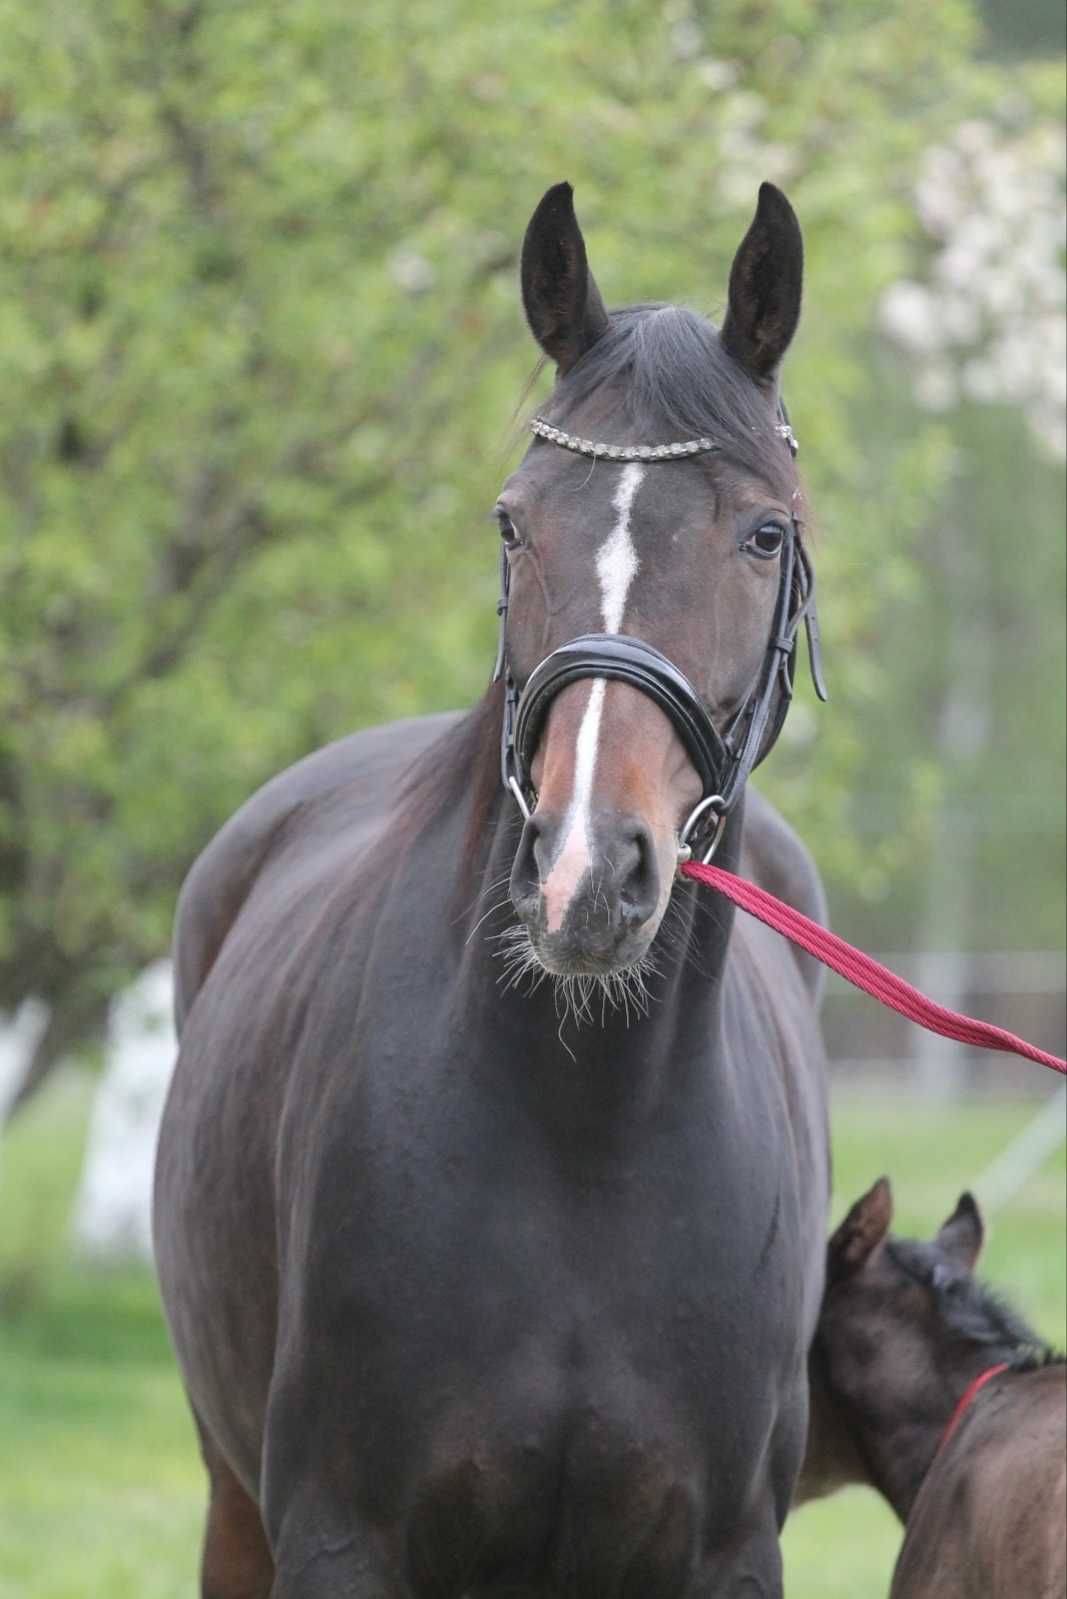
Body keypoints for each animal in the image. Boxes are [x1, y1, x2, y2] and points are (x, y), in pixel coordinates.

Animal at [154, 181, 831, 1592]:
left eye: (763, 533)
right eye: (514, 519)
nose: (582, 872)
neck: (585, 1134)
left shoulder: (723, 1555)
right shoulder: (338, 1538)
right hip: (231, 1504)